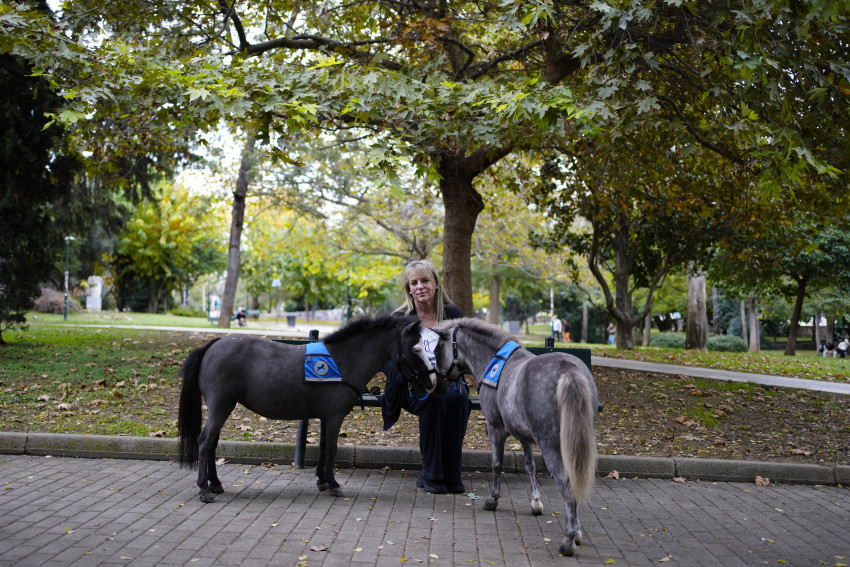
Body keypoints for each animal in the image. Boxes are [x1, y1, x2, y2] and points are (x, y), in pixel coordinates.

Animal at [179, 318, 430, 504]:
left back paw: (215, 484)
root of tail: (213, 344)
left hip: (222, 408)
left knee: (212, 443)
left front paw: (323, 481)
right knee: (205, 442)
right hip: (221, 406)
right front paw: (334, 484)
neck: (343, 360)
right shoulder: (335, 416)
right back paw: (204, 489)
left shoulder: (326, 417)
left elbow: (323, 447)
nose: (430, 382)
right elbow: (332, 449)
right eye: (416, 348)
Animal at [414, 320, 600, 560]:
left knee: (566, 482)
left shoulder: (496, 428)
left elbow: (496, 464)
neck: (495, 361)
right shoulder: (525, 436)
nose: (436, 385)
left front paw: (493, 500)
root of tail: (567, 368)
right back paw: (576, 533)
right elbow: (530, 466)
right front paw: (535, 502)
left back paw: (569, 539)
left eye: (437, 351)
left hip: (552, 445)